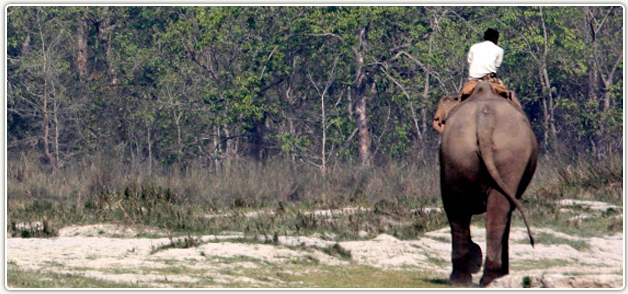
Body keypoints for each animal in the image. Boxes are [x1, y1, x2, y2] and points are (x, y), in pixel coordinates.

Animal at [434, 81, 536, 288]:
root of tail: (484, 121)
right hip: (509, 156)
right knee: (496, 211)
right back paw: (488, 277)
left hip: (457, 152)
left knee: (458, 210)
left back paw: (465, 279)